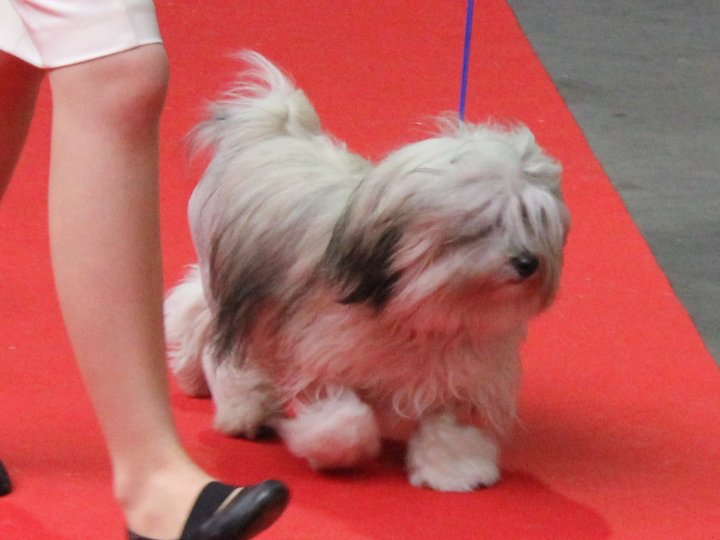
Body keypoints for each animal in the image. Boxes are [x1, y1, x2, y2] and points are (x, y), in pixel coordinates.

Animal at [165, 52, 570, 492]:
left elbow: (447, 428)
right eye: (485, 222)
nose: (527, 262)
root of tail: (270, 132)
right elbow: (343, 420)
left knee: (190, 306)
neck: (420, 312)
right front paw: (335, 449)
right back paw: (242, 409)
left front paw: (452, 471)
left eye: (533, 220)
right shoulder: (321, 352)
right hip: (241, 299)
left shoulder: (461, 374)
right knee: (220, 346)